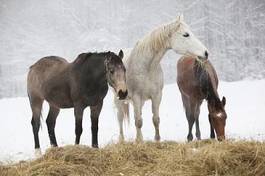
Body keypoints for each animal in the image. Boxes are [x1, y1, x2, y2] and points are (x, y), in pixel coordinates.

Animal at [114, 14, 207, 142]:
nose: (206, 53)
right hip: (119, 100)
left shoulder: (157, 96)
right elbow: (138, 122)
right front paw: (140, 142)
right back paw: (122, 139)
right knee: (120, 118)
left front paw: (156, 139)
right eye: (185, 34)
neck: (147, 66)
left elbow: (155, 119)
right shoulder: (137, 97)